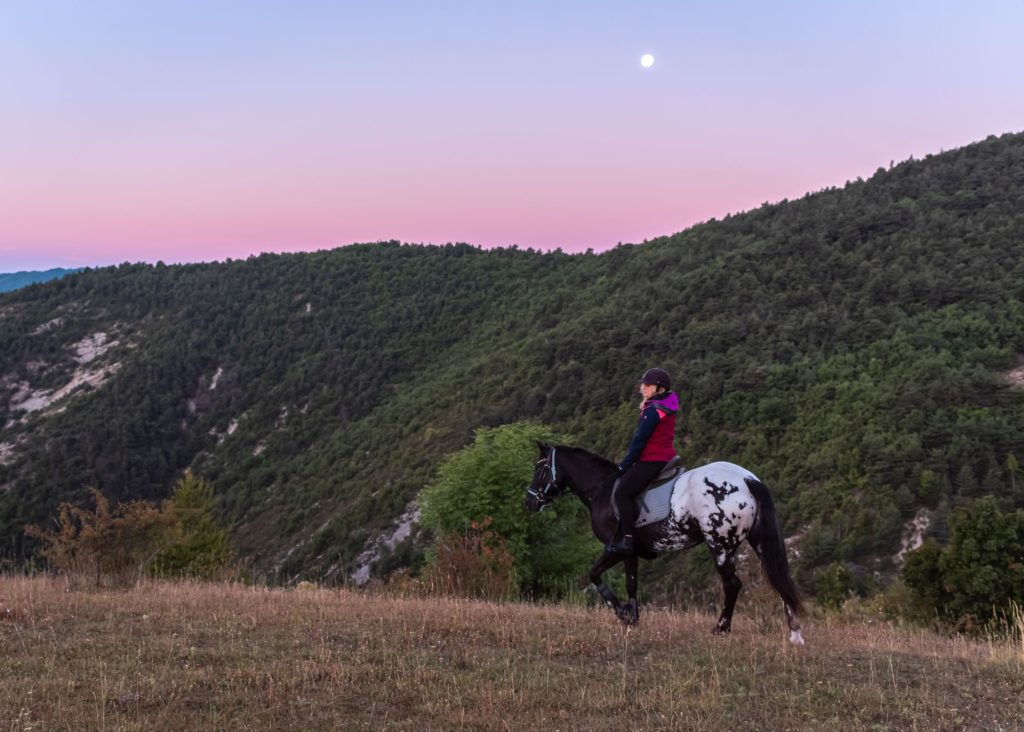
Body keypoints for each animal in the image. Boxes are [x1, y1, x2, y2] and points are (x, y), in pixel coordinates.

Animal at [524, 444, 802, 642]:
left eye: (539, 469)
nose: (529, 502)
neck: (601, 488)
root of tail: (746, 479)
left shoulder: (617, 548)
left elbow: (597, 574)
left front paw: (622, 612)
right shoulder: (631, 552)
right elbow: (631, 582)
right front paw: (632, 616)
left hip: (719, 545)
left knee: (732, 584)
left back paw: (721, 628)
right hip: (758, 541)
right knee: (778, 581)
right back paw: (794, 633)